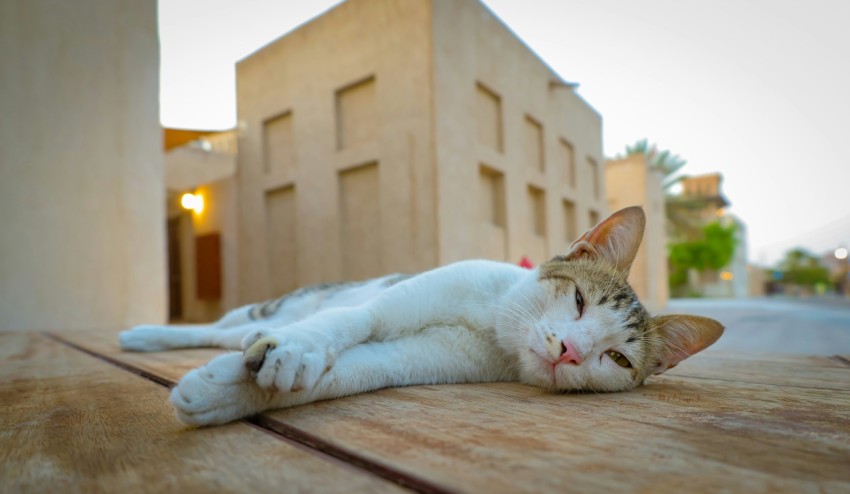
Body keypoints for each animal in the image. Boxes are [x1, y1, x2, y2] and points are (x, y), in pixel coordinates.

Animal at [121, 206, 724, 426]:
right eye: (577, 300)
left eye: (617, 359)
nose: (571, 351)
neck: (494, 326)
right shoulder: (402, 297)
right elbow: (356, 320)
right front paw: (295, 349)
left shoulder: (420, 359)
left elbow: (353, 370)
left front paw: (224, 393)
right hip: (274, 303)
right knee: (220, 324)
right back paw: (145, 334)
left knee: (232, 332)